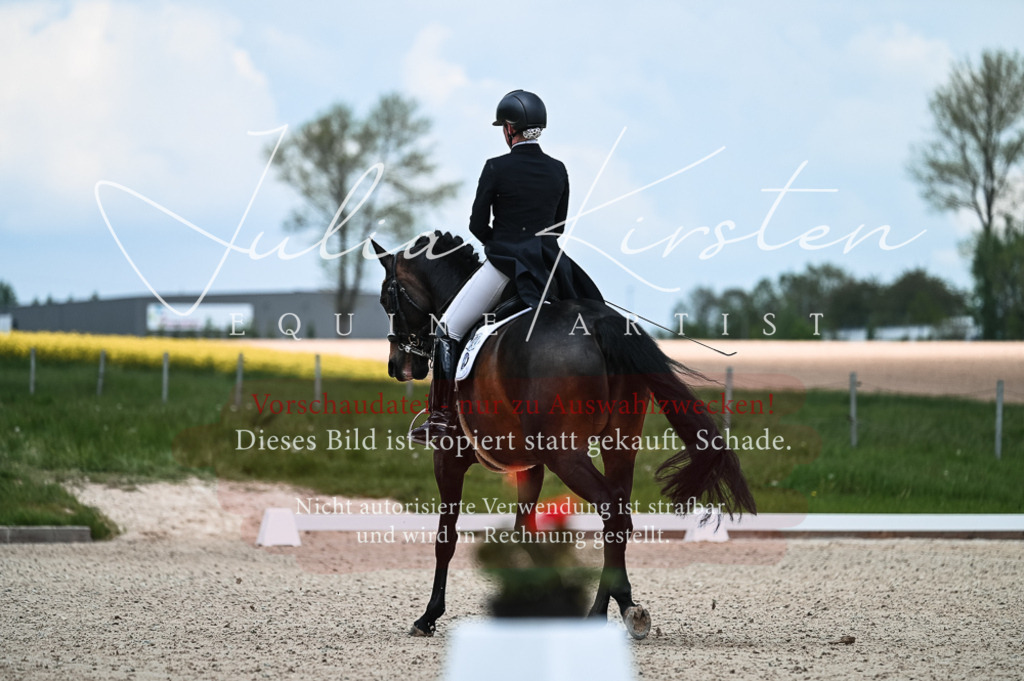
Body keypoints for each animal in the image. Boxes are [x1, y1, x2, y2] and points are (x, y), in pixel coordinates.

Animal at [373, 231, 756, 639]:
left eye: (387, 298)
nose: (397, 366)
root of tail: (599, 324)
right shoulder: (530, 464)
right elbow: (525, 532)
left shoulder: (447, 457)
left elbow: (446, 539)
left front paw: (428, 616)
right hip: (619, 446)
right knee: (619, 515)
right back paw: (619, 605)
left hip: (566, 455)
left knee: (610, 509)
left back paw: (603, 611)